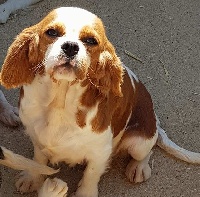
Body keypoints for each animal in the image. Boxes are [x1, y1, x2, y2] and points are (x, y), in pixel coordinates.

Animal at [0, 6, 200, 197]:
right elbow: (38, 160)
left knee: (146, 151)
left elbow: (91, 174)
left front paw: (84, 193)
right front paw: (32, 179)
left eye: (90, 40)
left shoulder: (100, 152)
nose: (71, 47)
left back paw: (138, 168)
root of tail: (154, 120)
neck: (60, 101)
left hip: (140, 142)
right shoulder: (37, 138)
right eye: (52, 32)